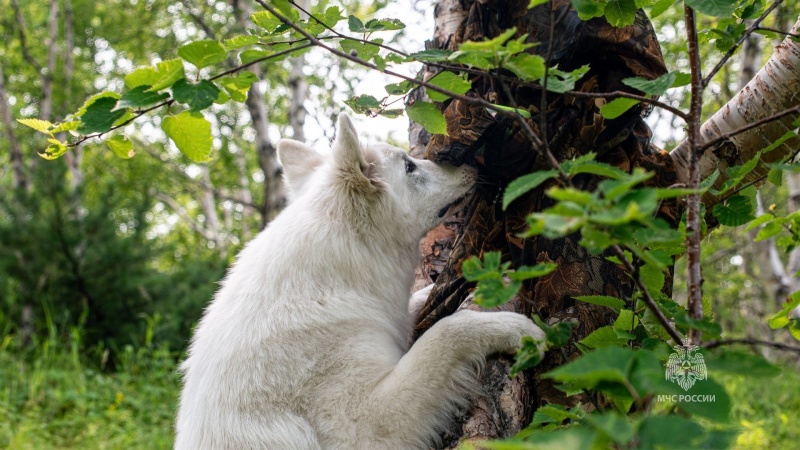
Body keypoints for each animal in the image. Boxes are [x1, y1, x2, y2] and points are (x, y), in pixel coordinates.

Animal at [177, 114, 544, 448]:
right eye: (409, 166)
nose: (470, 163)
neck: (330, 279)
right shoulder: (360, 426)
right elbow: (445, 333)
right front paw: (515, 330)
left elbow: (419, 304)